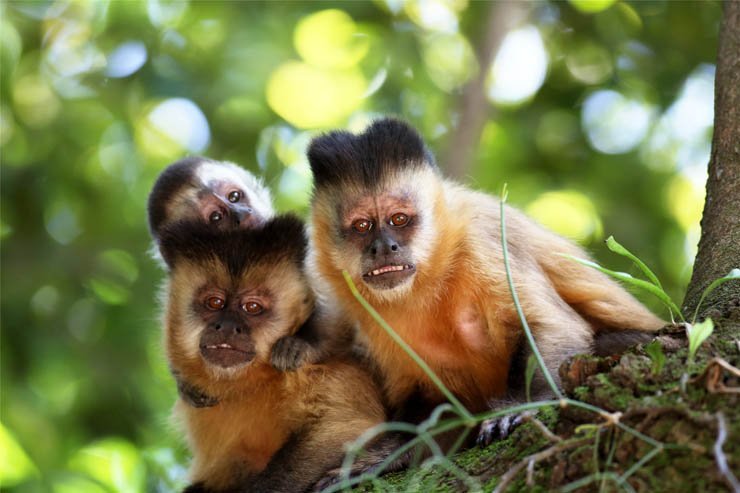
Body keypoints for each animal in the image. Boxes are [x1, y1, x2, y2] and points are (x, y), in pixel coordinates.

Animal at [305, 118, 666, 447]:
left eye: (399, 219)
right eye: (362, 226)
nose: (384, 247)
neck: (433, 271)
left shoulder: (483, 240)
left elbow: (557, 326)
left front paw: (522, 406)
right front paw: (391, 451)